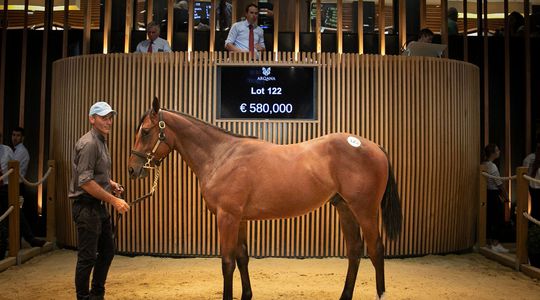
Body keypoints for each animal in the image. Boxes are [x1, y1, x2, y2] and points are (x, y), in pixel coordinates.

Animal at [130, 97, 400, 298]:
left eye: (146, 132)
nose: (133, 169)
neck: (221, 156)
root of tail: (374, 146)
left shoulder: (227, 217)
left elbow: (227, 262)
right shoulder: (239, 219)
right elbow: (242, 258)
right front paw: (246, 295)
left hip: (365, 210)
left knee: (376, 250)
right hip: (345, 208)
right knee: (354, 250)